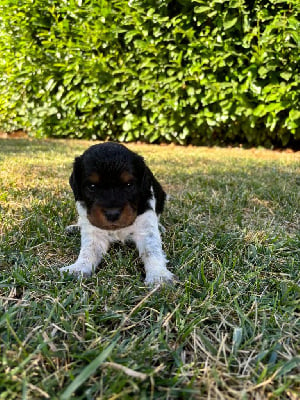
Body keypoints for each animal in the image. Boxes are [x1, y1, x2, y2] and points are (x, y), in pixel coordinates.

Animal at [59, 142, 175, 286]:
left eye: (129, 184)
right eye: (92, 186)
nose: (112, 214)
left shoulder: (146, 226)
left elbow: (151, 250)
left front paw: (159, 275)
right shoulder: (93, 230)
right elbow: (88, 250)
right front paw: (78, 268)